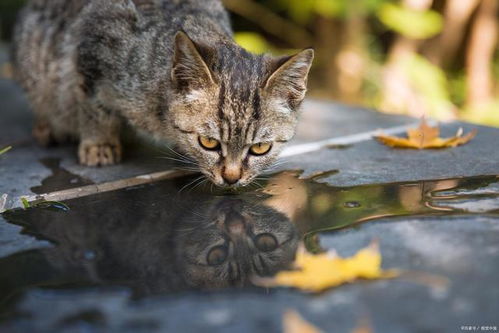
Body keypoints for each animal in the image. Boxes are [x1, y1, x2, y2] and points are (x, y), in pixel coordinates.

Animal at [11, 0, 312, 187]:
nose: (231, 178)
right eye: (209, 143)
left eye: (261, 148)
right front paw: (99, 144)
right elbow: (95, 107)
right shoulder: (92, 48)